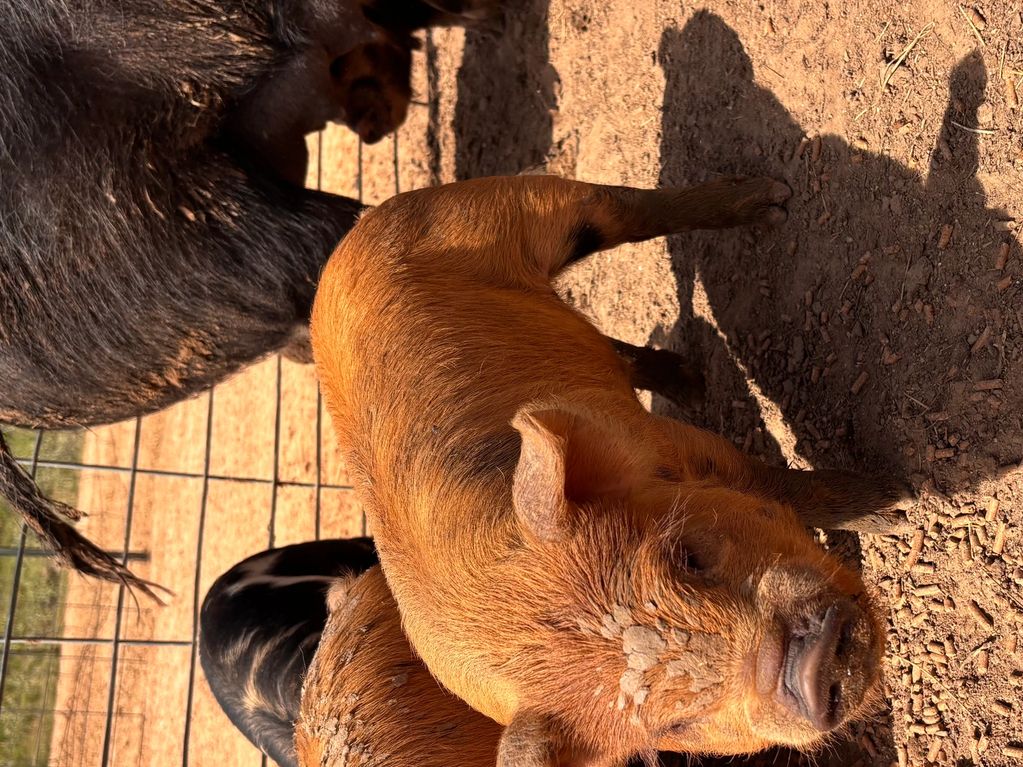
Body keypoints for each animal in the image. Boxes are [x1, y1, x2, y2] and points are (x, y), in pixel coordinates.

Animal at [311, 175, 914, 764]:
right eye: (678, 724)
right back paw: (693, 380)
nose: (809, 668)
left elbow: (776, 484)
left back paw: (773, 203)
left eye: (689, 558)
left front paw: (899, 506)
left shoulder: (661, 439)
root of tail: (343, 251)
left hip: (490, 210)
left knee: (619, 209)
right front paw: (899, 507)